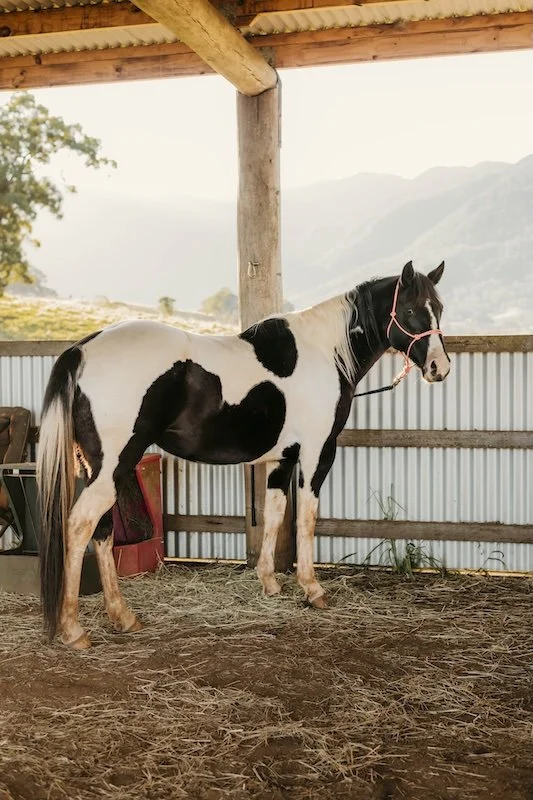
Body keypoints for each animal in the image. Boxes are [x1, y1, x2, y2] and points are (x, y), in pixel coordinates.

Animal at [36, 260, 450, 649]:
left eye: (439, 308)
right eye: (410, 309)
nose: (439, 368)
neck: (323, 351)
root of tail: (81, 350)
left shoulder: (282, 458)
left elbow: (275, 513)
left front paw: (269, 582)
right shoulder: (317, 453)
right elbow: (306, 518)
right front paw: (312, 589)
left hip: (99, 470)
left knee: (102, 531)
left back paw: (122, 616)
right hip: (113, 467)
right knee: (80, 526)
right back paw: (73, 630)